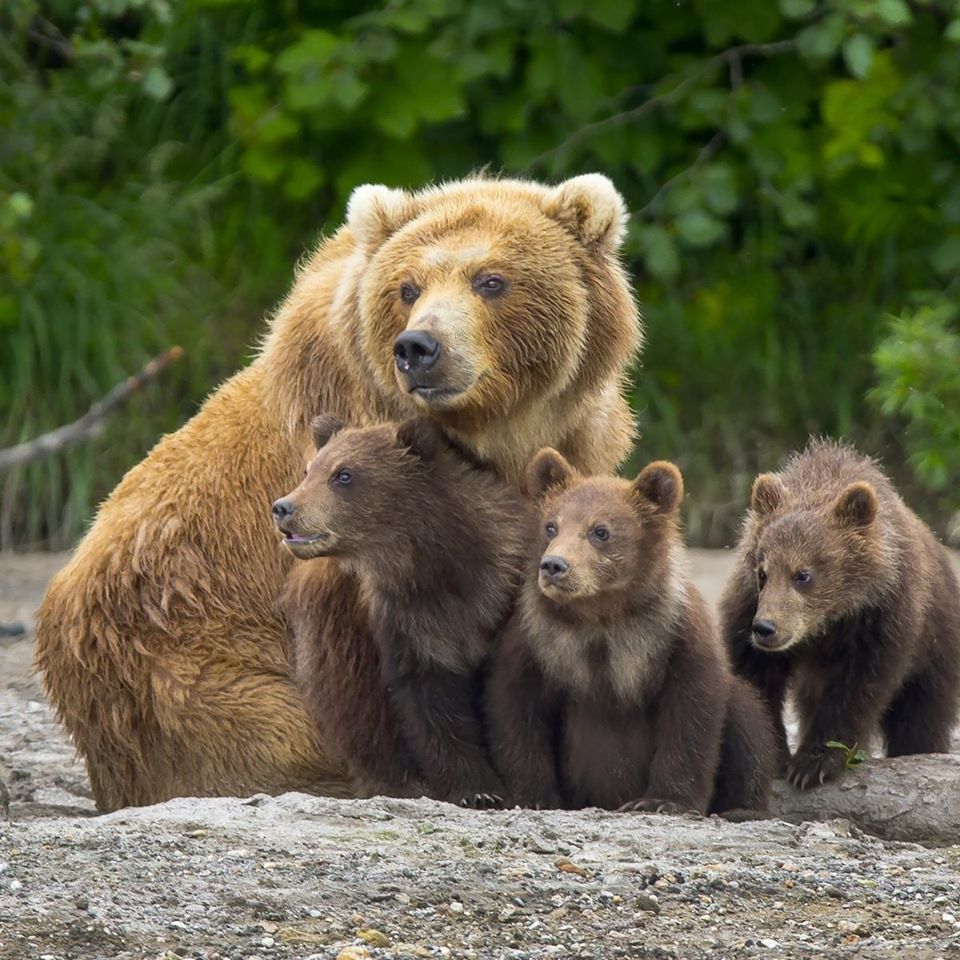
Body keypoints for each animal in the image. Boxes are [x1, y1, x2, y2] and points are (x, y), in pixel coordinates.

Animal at [270, 416, 528, 808]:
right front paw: (476, 789)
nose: (283, 507)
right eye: (308, 470)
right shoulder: (408, 624)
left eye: (343, 474)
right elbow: (430, 708)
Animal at [488, 454, 772, 812]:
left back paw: (741, 806)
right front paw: (535, 796)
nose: (554, 565)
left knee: (747, 717)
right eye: (551, 526)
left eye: (600, 530)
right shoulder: (537, 640)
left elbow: (691, 715)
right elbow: (516, 711)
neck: (601, 614)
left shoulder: (674, 635)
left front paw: (662, 800)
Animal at [720, 438, 960, 792]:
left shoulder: (882, 617)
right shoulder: (748, 605)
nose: (765, 628)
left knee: (922, 715)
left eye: (802, 574)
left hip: (936, 645)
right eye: (762, 571)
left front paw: (813, 763)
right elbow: (758, 679)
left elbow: (858, 688)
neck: (827, 621)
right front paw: (775, 754)